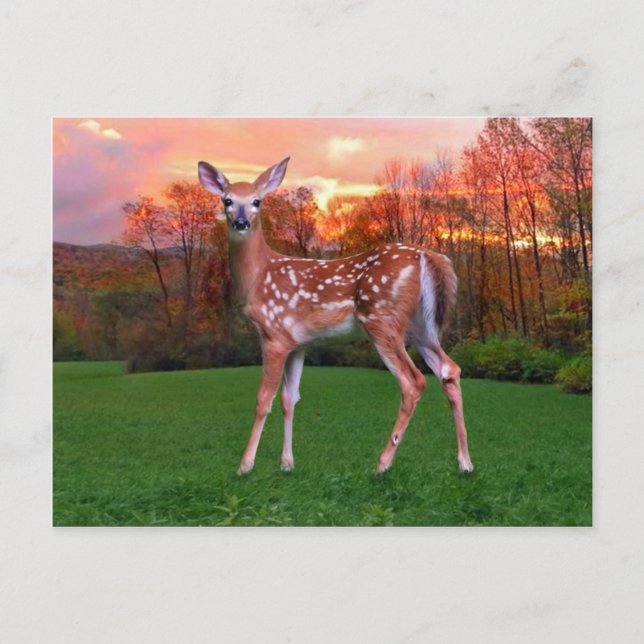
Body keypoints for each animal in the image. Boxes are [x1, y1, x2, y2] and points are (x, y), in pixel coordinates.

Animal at [197, 157, 474, 476]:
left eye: (257, 201)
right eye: (227, 200)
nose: (241, 222)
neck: (257, 276)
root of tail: (429, 257)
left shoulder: (273, 334)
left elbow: (263, 399)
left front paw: (245, 465)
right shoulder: (298, 343)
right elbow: (290, 399)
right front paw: (287, 463)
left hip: (381, 318)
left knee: (414, 381)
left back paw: (382, 464)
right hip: (421, 326)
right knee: (449, 370)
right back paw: (465, 463)